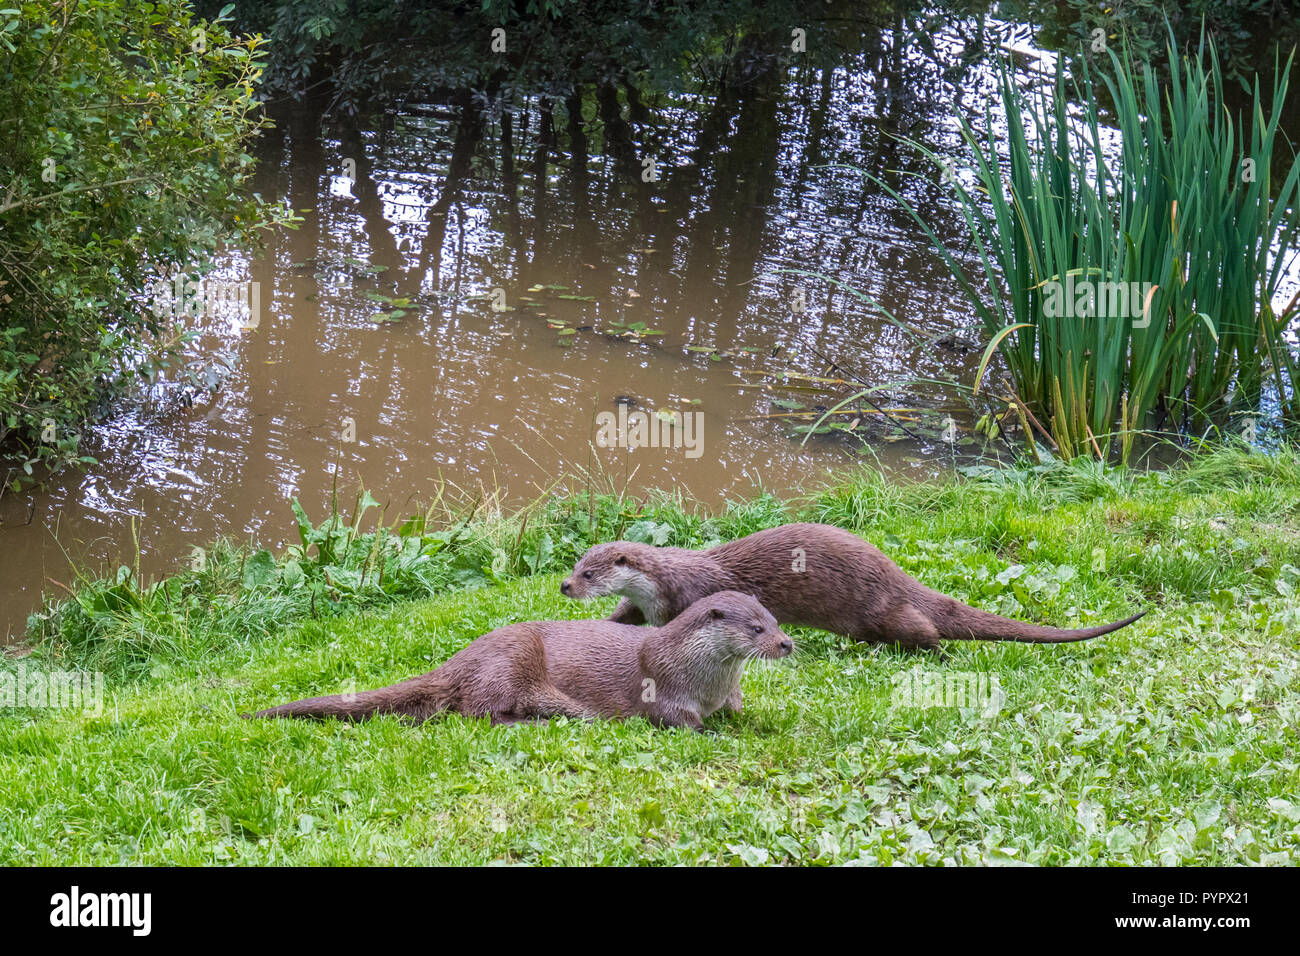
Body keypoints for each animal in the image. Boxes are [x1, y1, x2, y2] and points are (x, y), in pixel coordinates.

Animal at [245, 590, 790, 733]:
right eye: (755, 629)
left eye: (775, 619)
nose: (786, 644)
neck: (709, 681)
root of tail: (462, 657)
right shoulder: (667, 691)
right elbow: (681, 723)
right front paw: (713, 733)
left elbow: (740, 711)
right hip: (513, 663)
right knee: (479, 713)